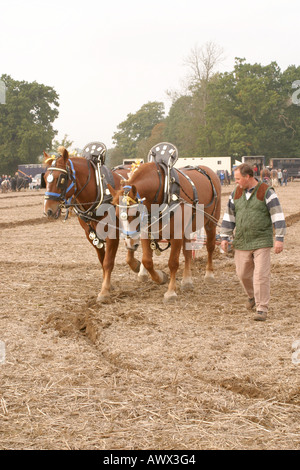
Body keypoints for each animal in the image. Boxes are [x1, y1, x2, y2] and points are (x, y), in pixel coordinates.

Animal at [42, 145, 141, 302]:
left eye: (61, 179)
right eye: (45, 178)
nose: (48, 211)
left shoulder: (112, 234)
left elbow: (108, 261)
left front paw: (104, 291)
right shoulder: (90, 234)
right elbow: (102, 259)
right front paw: (108, 284)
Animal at [109, 143, 221, 302]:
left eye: (136, 213)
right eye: (118, 215)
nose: (130, 244)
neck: (164, 191)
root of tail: (208, 171)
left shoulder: (176, 235)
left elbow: (173, 263)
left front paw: (170, 292)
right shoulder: (146, 232)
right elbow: (147, 261)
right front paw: (160, 278)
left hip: (211, 223)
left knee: (210, 246)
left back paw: (209, 274)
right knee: (187, 253)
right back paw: (187, 281)